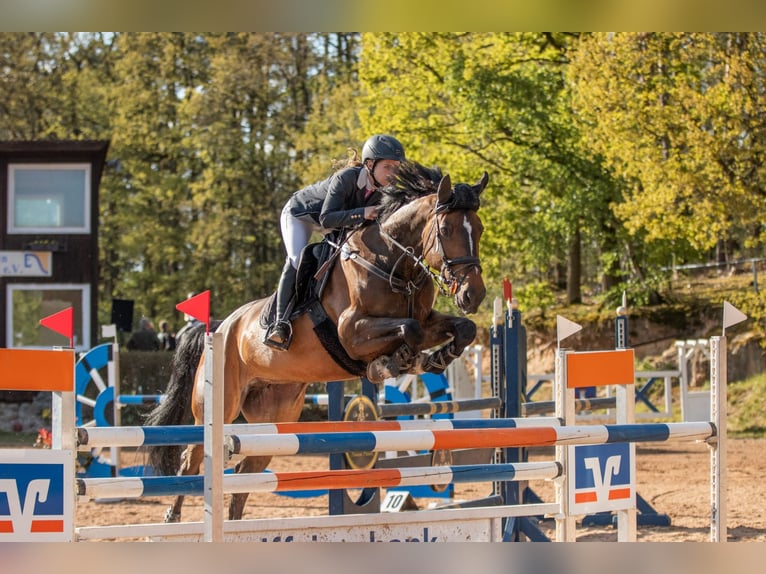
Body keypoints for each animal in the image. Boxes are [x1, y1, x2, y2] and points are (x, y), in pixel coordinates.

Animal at [146, 161, 488, 520]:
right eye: (446, 230)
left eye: (478, 229)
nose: (474, 294)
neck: (392, 263)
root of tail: (220, 325)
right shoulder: (352, 332)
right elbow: (410, 330)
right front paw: (391, 363)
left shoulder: (426, 318)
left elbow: (461, 328)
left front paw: (435, 357)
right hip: (217, 406)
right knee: (192, 459)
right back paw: (172, 517)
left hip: (276, 416)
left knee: (245, 471)